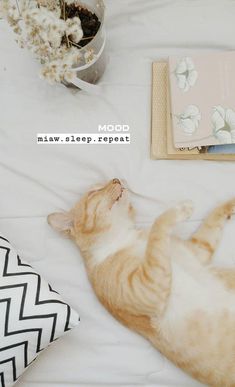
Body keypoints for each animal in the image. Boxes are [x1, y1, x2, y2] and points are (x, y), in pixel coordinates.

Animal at [47, 180, 235, 387]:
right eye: (93, 191)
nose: (116, 179)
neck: (126, 238)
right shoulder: (146, 288)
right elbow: (158, 228)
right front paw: (180, 209)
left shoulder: (198, 252)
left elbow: (211, 224)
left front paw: (231, 202)